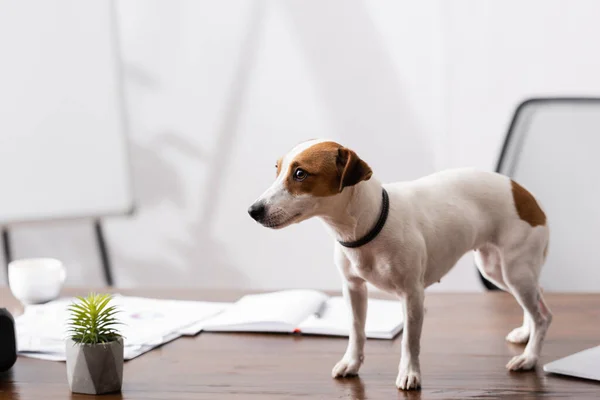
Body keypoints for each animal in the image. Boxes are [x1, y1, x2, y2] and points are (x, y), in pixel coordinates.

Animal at [247, 139, 552, 390]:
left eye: (300, 173)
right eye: (277, 169)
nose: (253, 210)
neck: (368, 223)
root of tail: (520, 189)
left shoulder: (412, 295)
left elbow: (409, 341)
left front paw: (410, 373)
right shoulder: (353, 288)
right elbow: (356, 330)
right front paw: (352, 363)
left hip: (514, 271)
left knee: (543, 316)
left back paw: (529, 357)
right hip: (498, 270)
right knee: (535, 301)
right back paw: (525, 334)